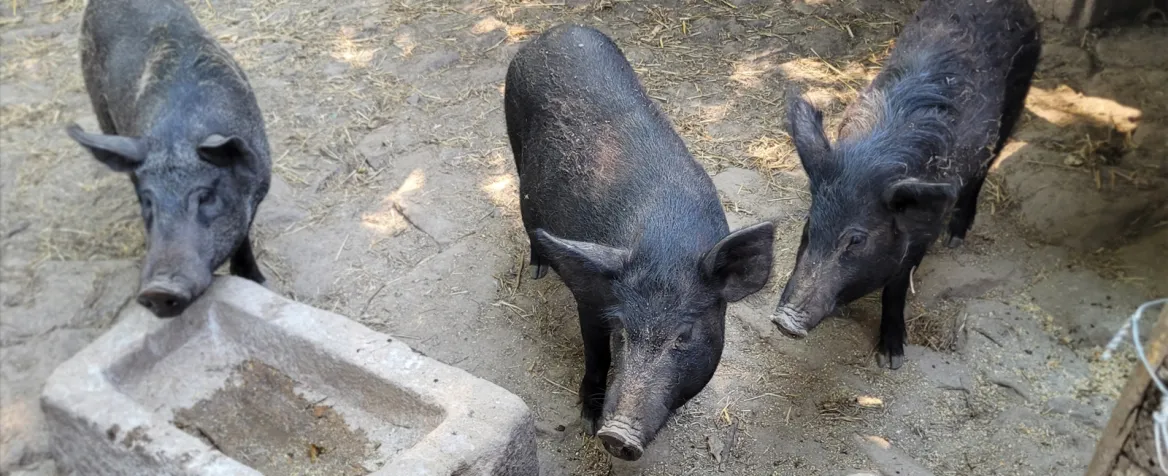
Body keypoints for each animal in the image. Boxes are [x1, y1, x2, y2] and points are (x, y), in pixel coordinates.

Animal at [66, 0, 271, 318]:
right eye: (147, 201)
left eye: (206, 196)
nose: (158, 290)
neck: (179, 135)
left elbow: (243, 239)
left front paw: (259, 282)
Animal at [505, 25, 776, 461]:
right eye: (622, 332)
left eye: (684, 336)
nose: (617, 436)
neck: (666, 246)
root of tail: (557, 31)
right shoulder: (591, 297)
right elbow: (595, 355)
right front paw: (588, 419)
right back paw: (538, 268)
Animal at [771, 0, 1041, 369]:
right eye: (809, 226)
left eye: (856, 239)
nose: (783, 320)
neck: (872, 162)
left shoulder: (925, 229)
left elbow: (897, 286)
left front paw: (891, 359)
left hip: (1016, 96)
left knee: (987, 164)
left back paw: (957, 238)